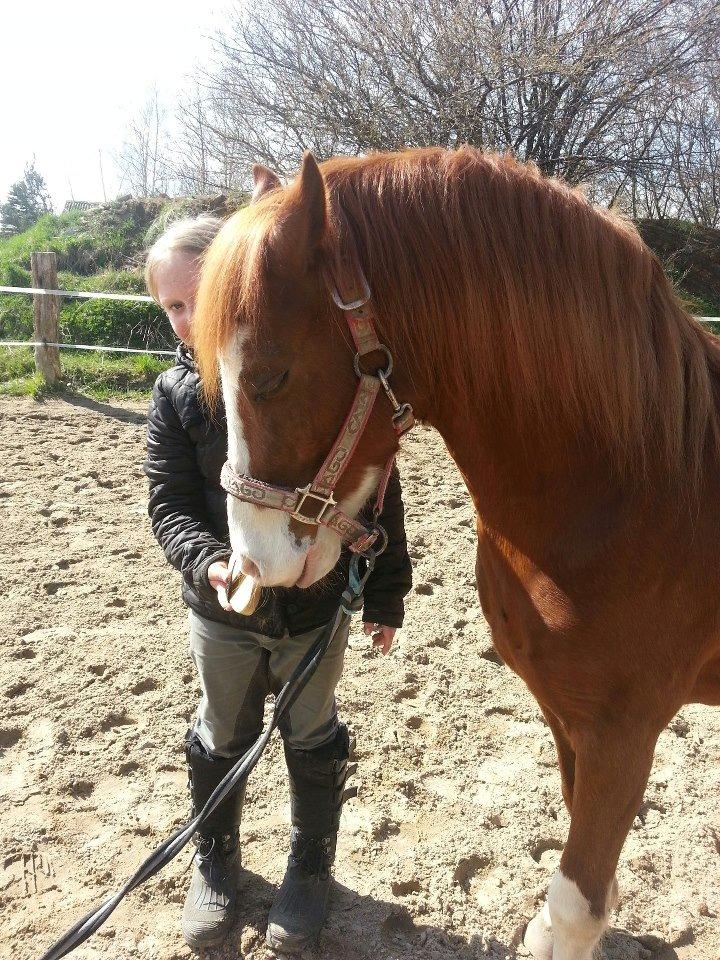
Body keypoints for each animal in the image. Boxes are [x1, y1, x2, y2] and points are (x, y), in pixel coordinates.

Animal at [193, 146, 720, 960]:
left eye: (270, 374)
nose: (249, 568)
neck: (638, 487)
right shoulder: (570, 720)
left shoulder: (623, 732)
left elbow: (572, 911)